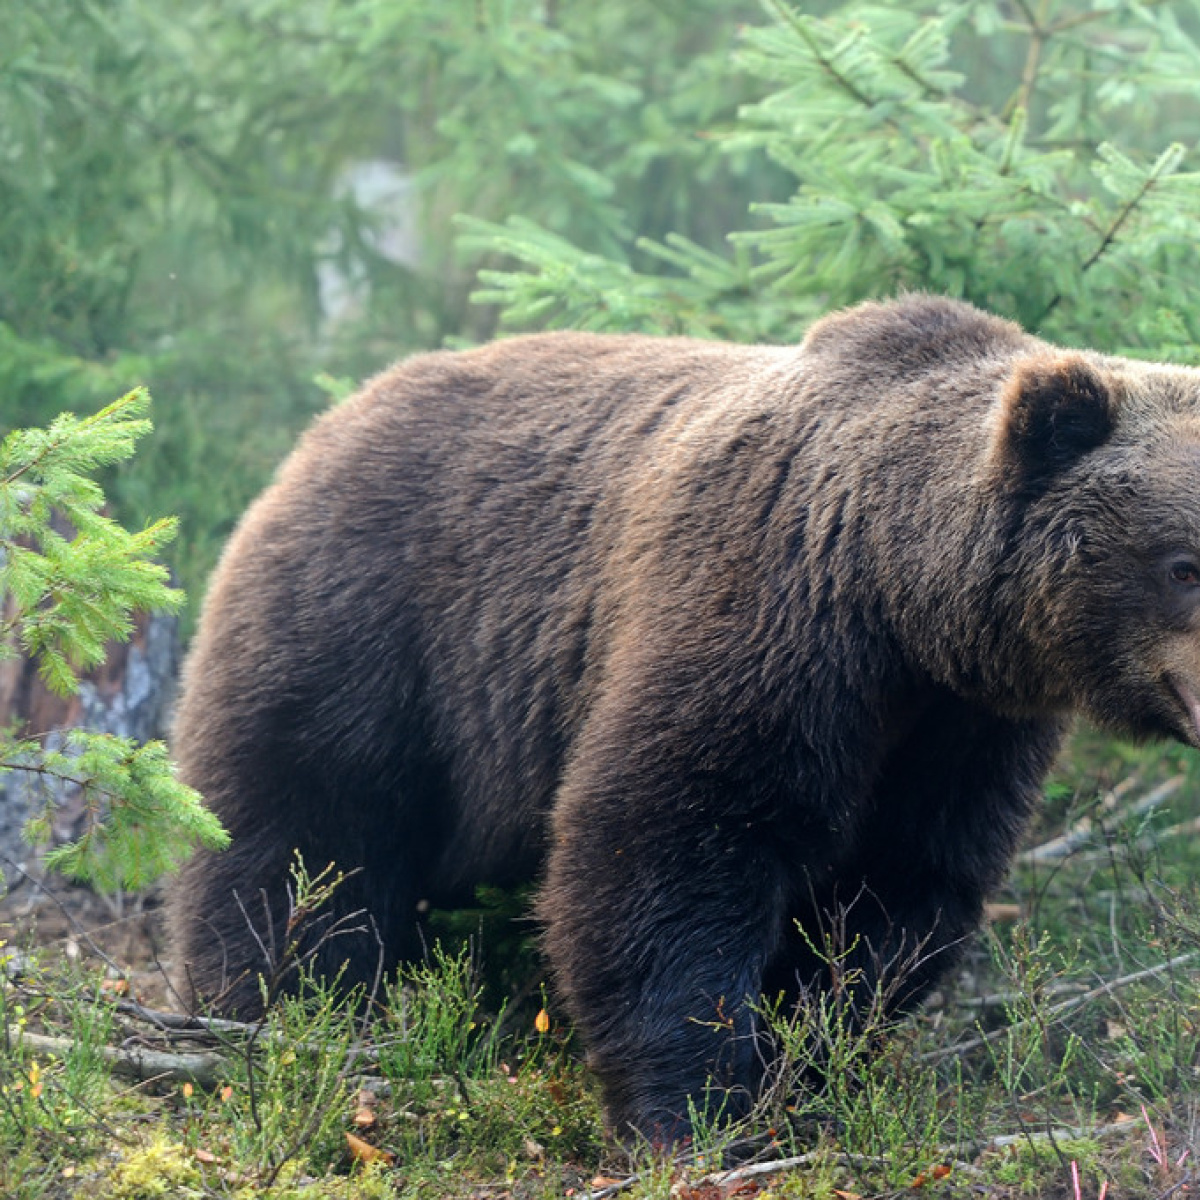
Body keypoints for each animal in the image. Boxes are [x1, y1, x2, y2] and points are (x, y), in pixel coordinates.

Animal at [166, 292, 1200, 1142]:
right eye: (1183, 562)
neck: (899, 597)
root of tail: (329, 420)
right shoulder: (767, 608)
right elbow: (669, 838)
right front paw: (693, 1108)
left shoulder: (964, 730)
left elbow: (895, 894)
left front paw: (806, 1069)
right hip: (373, 624)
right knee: (301, 830)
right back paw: (286, 1012)